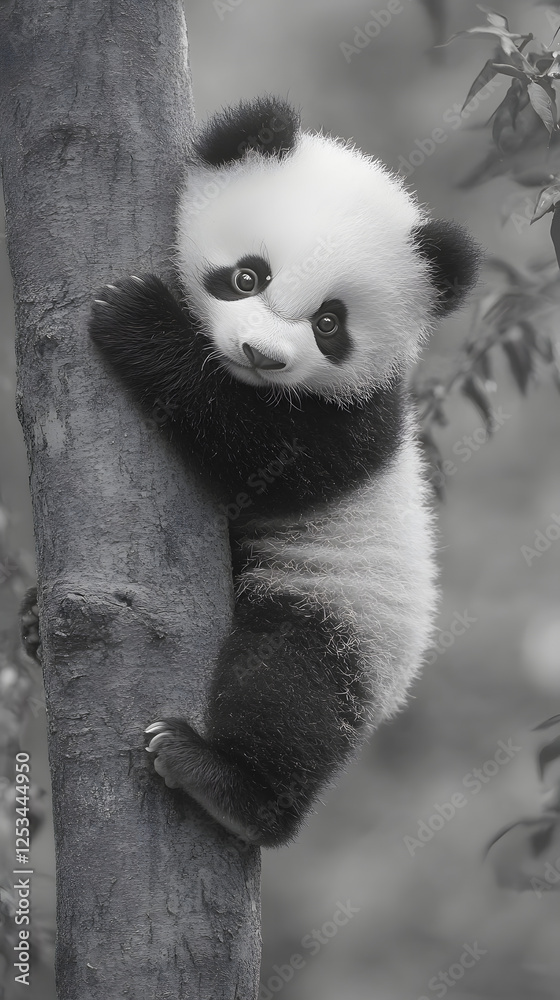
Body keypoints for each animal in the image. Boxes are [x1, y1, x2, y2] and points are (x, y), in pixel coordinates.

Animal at [89, 96, 480, 847]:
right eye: (249, 276)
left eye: (330, 323)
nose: (262, 355)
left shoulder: (357, 420)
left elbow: (260, 447)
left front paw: (137, 320)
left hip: (339, 611)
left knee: (291, 688)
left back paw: (226, 783)